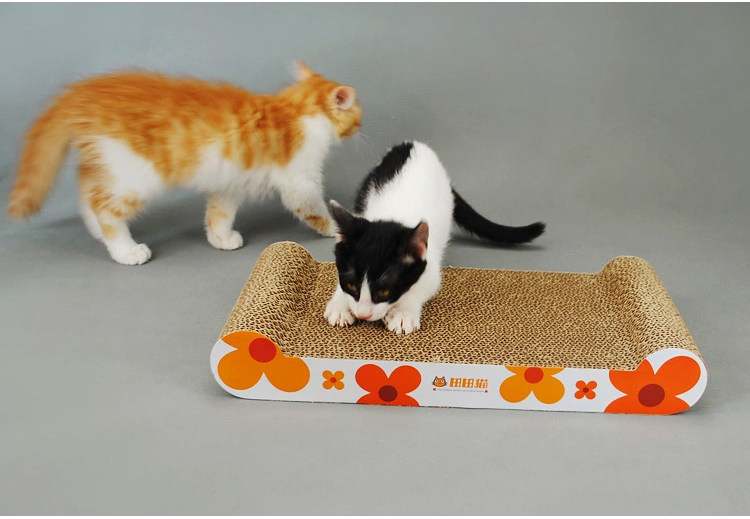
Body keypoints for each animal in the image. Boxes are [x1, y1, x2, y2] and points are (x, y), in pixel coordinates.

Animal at [7, 62, 362, 265]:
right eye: (357, 115)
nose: (360, 125)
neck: (298, 109)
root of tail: (84, 92)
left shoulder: (230, 181)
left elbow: (219, 213)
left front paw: (221, 238)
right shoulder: (299, 179)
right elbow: (315, 208)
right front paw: (339, 230)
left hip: (107, 161)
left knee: (87, 190)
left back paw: (95, 230)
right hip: (134, 175)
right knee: (105, 206)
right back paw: (125, 250)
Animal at [324, 141, 545, 334]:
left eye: (384, 292)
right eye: (351, 285)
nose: (363, 314)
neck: (394, 216)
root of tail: (413, 144)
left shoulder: (430, 266)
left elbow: (422, 286)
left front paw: (403, 313)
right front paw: (340, 305)